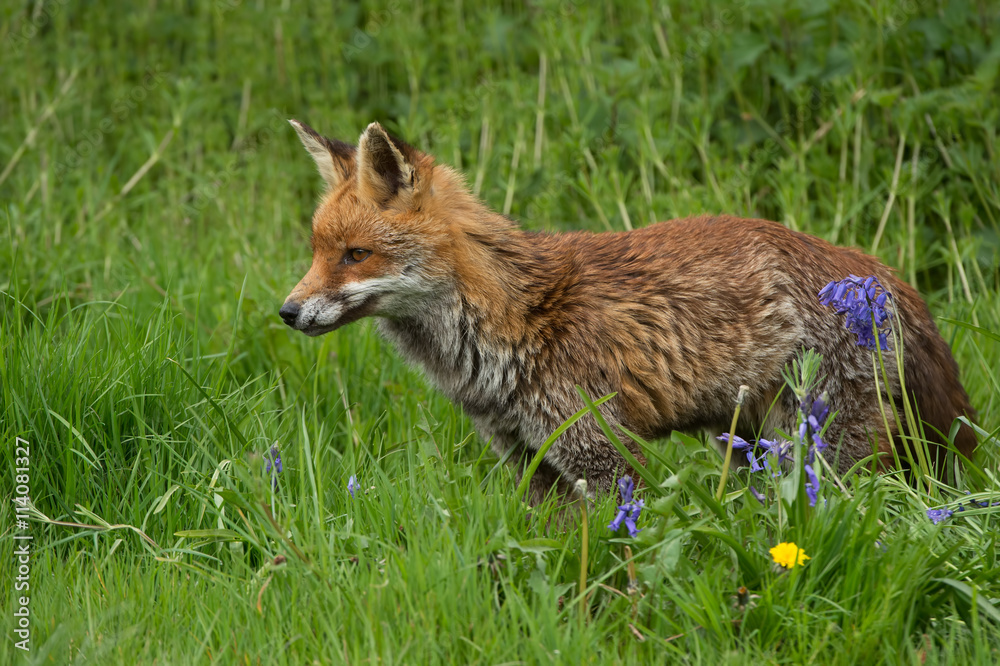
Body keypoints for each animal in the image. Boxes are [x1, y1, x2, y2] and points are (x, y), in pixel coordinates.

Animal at [279, 120, 977, 502]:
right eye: (315, 251)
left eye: (355, 255)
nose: (286, 312)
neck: (513, 316)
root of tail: (878, 277)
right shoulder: (533, 463)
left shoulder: (606, 454)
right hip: (752, 443)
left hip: (819, 449)